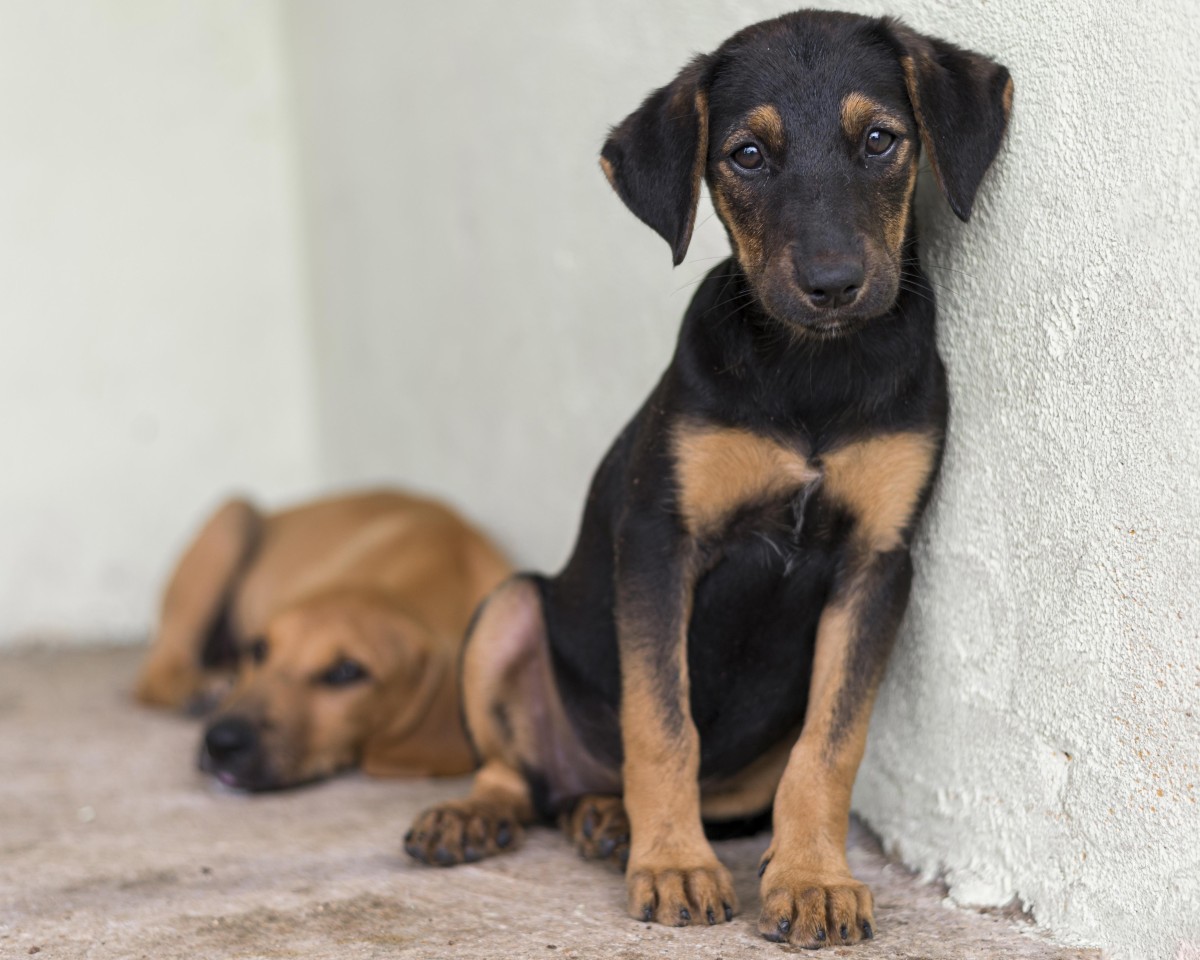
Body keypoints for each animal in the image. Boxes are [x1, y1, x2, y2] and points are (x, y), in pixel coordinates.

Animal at [136, 492, 511, 792]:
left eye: (346, 672)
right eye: (259, 649)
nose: (221, 743)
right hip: (232, 517)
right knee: (153, 674)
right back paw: (199, 689)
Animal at [405, 7, 1012, 950]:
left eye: (881, 140)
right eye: (747, 155)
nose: (832, 285)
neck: (810, 373)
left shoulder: (877, 563)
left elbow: (829, 745)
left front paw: (812, 880)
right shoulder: (660, 541)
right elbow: (662, 724)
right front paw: (675, 866)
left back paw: (605, 818)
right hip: (510, 607)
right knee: (514, 768)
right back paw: (483, 815)